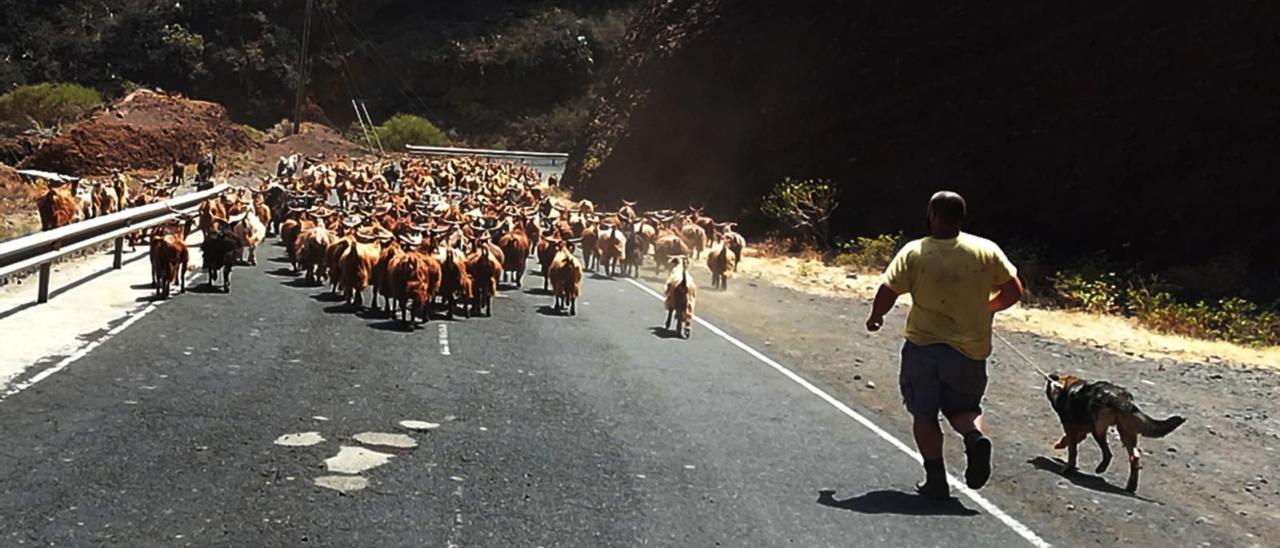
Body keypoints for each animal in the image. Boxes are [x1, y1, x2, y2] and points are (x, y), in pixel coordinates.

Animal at [1044, 371, 1182, 491]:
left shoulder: (1070, 427)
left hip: (1098, 430)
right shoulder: (1080, 431)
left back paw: (1101, 468)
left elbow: (1072, 451)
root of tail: (1121, 398)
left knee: (1108, 453)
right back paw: (1131, 485)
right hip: (1126, 432)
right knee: (1134, 456)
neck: (1066, 386)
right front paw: (1060, 445)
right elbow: (1069, 441)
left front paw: (1067, 468)